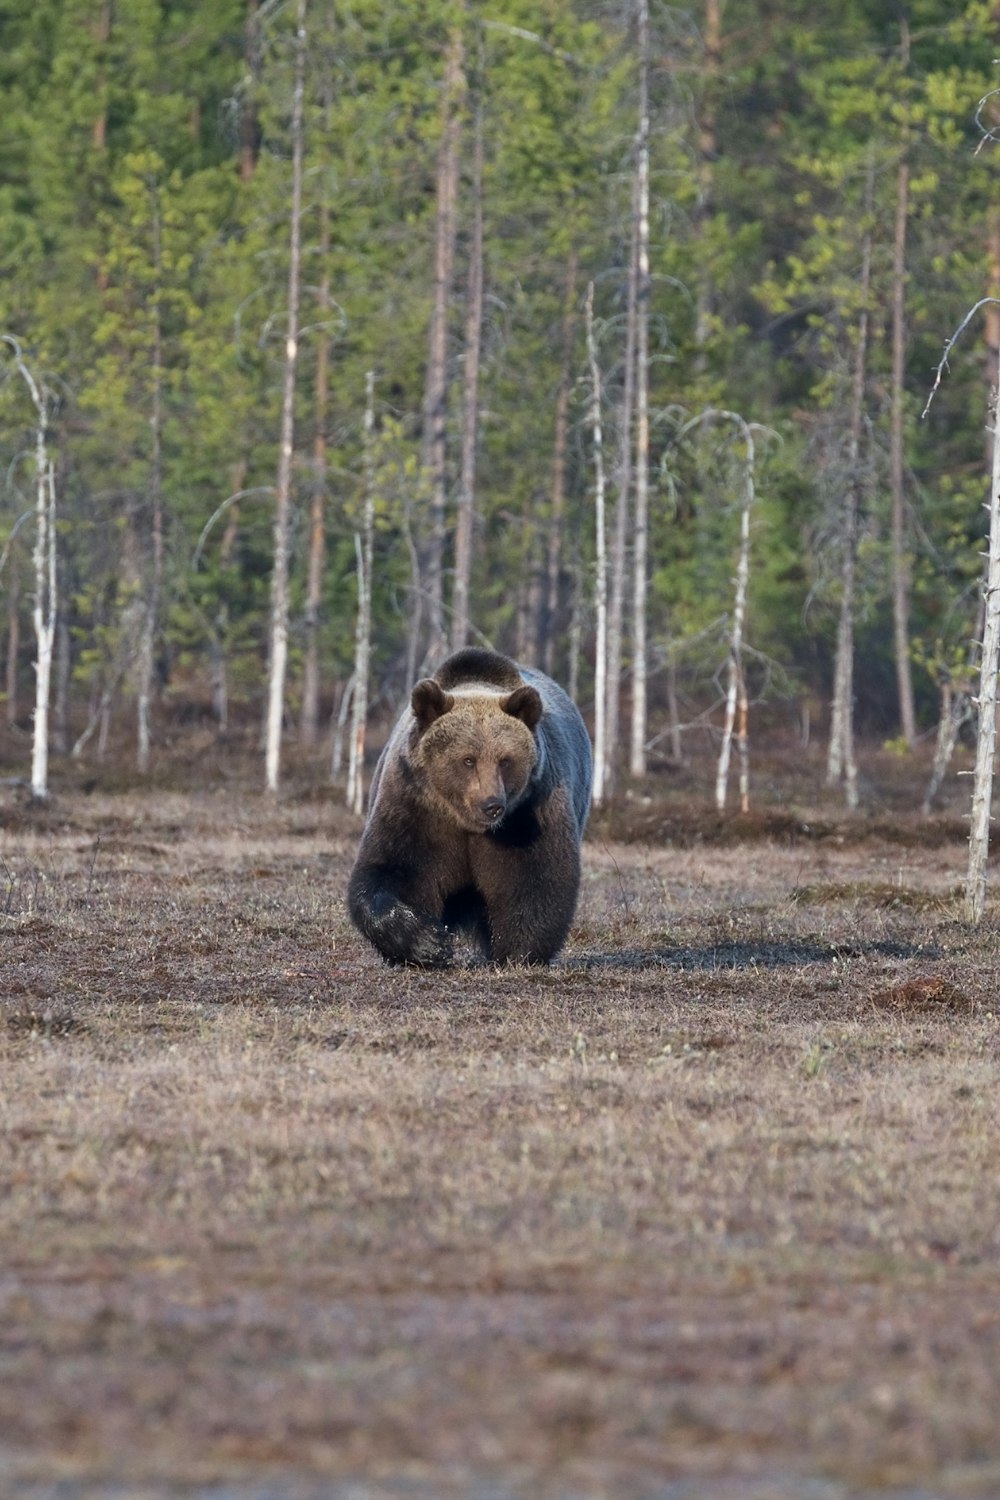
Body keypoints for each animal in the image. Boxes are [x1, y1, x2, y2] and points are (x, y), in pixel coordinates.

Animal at [347, 651, 590, 966]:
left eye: (505, 760)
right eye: (468, 760)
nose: (492, 805)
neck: (465, 822)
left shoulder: (528, 813)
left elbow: (537, 878)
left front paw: (517, 952)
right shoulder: (414, 808)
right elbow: (392, 871)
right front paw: (428, 942)